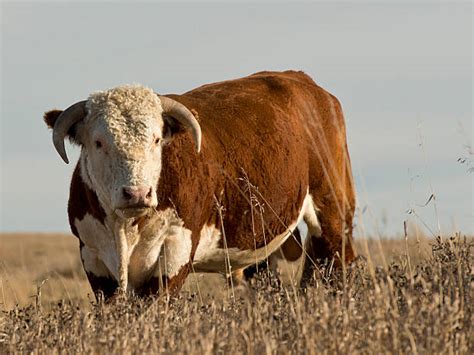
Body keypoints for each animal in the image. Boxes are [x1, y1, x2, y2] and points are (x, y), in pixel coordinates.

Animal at [43, 71, 356, 298]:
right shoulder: (93, 258)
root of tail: (302, 81)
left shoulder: (175, 250)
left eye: (157, 139)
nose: (137, 193)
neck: (126, 228)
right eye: (99, 143)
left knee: (340, 268)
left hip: (333, 213)